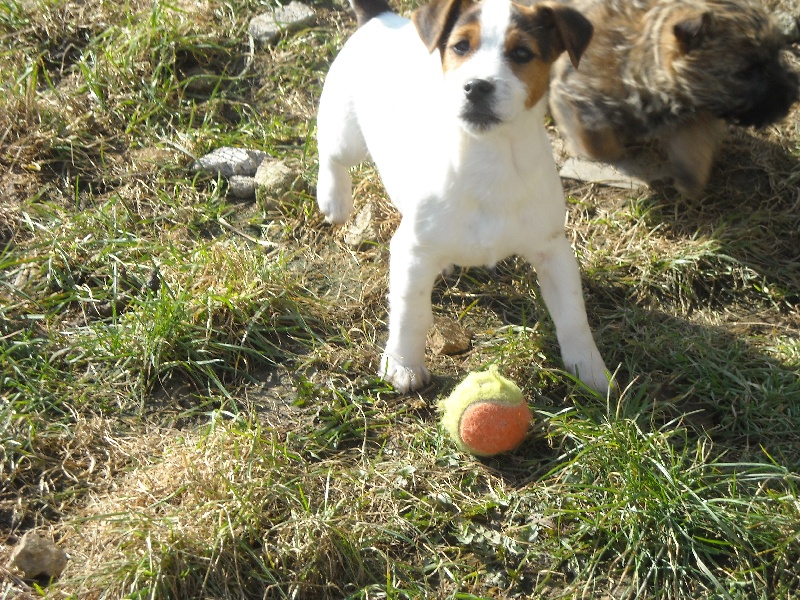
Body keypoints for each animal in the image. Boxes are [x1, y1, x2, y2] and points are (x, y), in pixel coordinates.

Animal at [315, 0, 612, 394]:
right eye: (460, 46)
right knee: (329, 151)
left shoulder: (553, 251)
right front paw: (403, 366)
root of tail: (382, 17)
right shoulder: (412, 251)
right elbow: (411, 313)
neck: (489, 157)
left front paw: (592, 372)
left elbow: (573, 316)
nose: (477, 87)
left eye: (522, 53)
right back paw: (333, 199)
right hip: (346, 135)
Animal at [549, 0, 799, 198]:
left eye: (776, 55)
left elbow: (694, 148)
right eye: (746, 72)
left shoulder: (693, 116)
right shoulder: (574, 96)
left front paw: (689, 183)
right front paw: (602, 152)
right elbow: (598, 144)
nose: (791, 95)